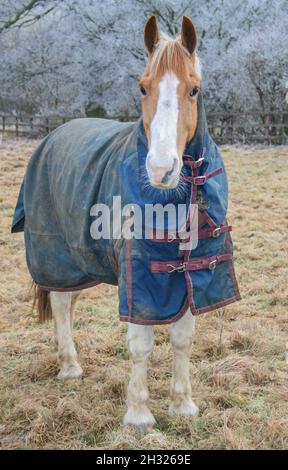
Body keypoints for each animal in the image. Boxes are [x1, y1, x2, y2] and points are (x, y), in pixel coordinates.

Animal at [12, 16, 240, 430]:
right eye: (143, 86)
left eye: (194, 89)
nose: (161, 169)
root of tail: (54, 133)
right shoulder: (140, 278)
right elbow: (141, 344)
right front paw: (138, 414)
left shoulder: (191, 273)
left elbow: (183, 337)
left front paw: (183, 405)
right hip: (56, 254)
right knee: (59, 301)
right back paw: (69, 366)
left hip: (82, 261)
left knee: (66, 300)